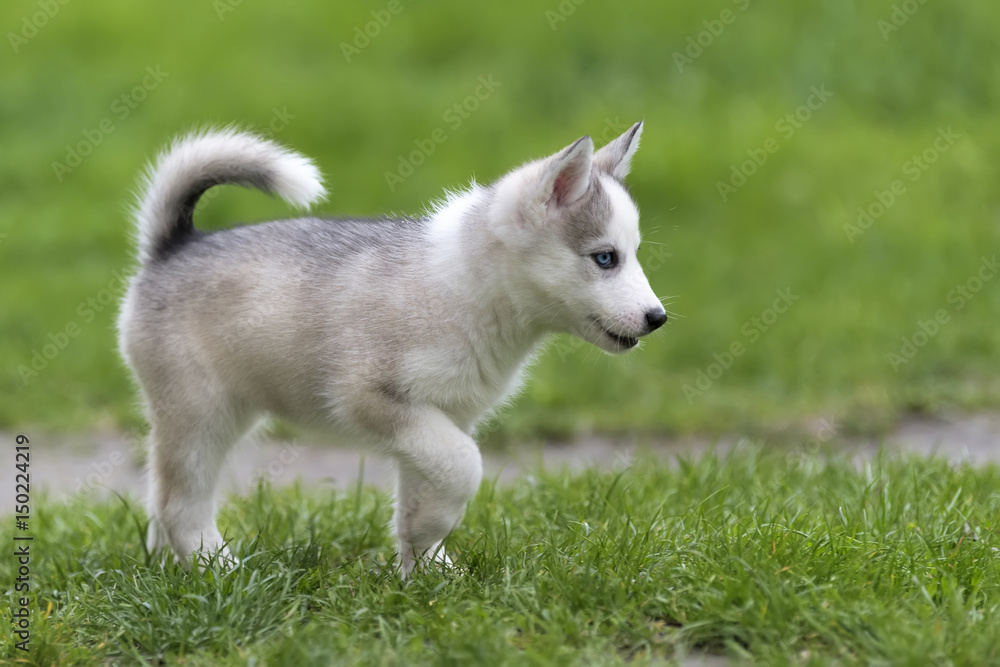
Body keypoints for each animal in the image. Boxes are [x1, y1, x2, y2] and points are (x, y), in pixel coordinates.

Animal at [119, 124, 664, 576]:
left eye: (633, 255)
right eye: (605, 258)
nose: (657, 318)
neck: (468, 290)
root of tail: (175, 245)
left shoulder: (443, 416)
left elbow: (426, 489)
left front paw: (425, 563)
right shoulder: (373, 399)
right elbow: (465, 465)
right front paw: (428, 547)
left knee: (160, 499)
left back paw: (169, 570)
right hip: (202, 416)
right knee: (179, 505)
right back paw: (219, 569)